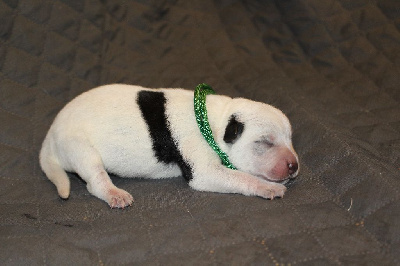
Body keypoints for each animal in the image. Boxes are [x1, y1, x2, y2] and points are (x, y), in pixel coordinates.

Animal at [39, 84, 296, 209]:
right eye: (265, 142)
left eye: (290, 138)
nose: (294, 166)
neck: (213, 120)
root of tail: (50, 137)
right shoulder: (204, 170)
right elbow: (240, 177)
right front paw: (267, 187)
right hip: (79, 147)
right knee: (94, 178)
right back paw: (114, 193)